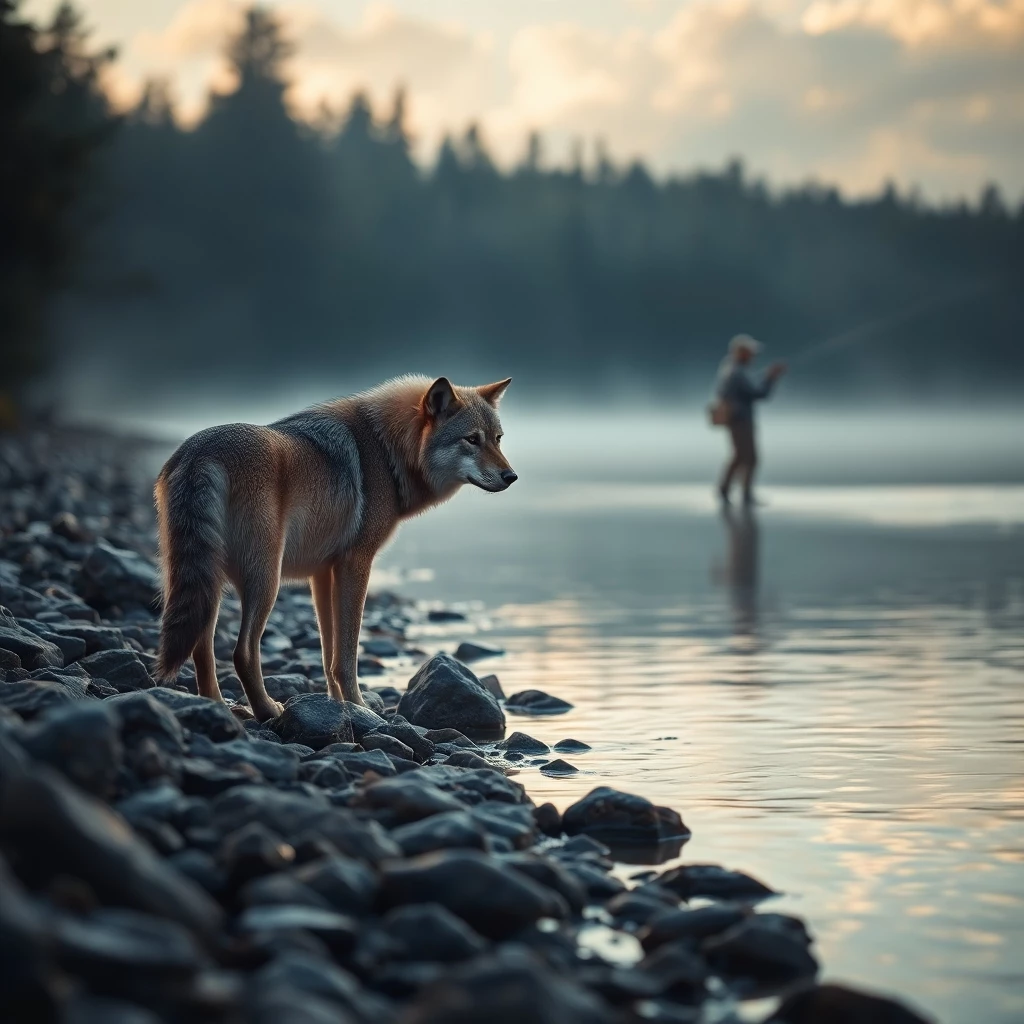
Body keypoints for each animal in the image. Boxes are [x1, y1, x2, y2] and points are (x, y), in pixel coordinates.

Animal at [154, 375, 515, 721]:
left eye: (497, 439)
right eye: (472, 439)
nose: (510, 476)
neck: (387, 451)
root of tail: (200, 454)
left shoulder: (322, 574)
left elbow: (328, 653)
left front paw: (337, 705)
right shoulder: (356, 564)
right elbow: (346, 654)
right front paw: (360, 707)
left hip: (205, 586)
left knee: (201, 649)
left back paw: (216, 706)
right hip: (265, 583)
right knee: (241, 652)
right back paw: (267, 710)